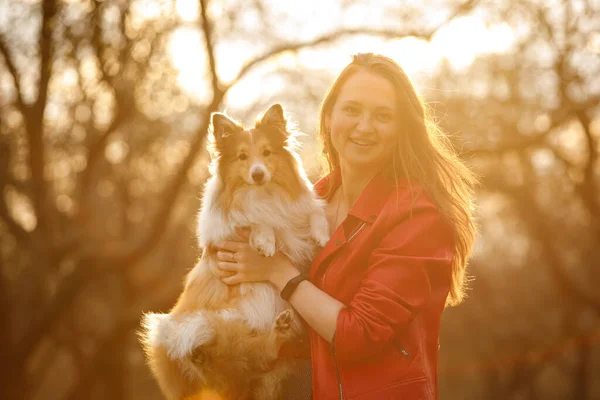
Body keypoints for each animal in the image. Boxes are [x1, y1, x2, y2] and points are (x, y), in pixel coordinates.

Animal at [140, 104, 328, 400]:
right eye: (242, 157)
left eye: (267, 152)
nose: (258, 174)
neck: (262, 194)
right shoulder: (224, 231)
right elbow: (254, 220)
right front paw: (265, 240)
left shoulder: (296, 219)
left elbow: (312, 212)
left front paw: (322, 232)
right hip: (201, 325)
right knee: (251, 352)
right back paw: (275, 334)